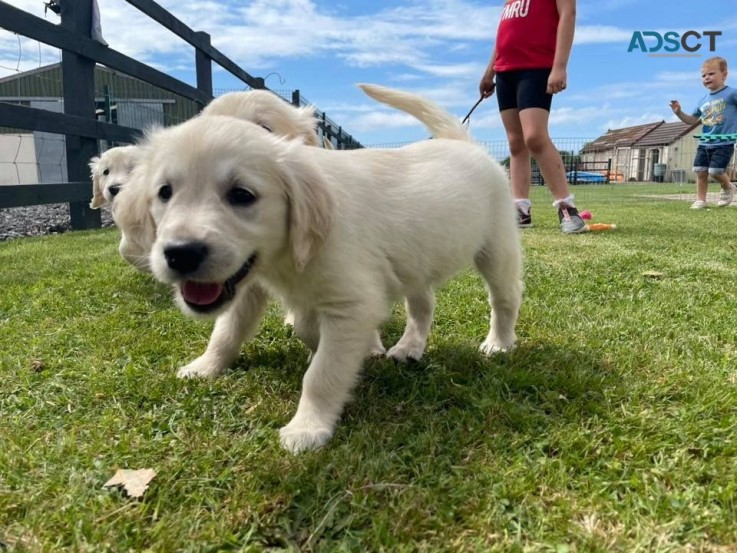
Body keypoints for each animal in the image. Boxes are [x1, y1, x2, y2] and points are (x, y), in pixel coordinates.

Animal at [135, 84, 520, 450]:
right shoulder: (252, 284)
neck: (288, 253)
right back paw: (409, 347)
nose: (180, 254)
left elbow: (323, 372)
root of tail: (463, 143)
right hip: (416, 260)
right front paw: (206, 366)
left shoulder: (353, 303)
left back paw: (498, 344)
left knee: (504, 299)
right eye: (165, 192)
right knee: (423, 305)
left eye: (242, 195)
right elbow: (232, 330)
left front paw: (308, 428)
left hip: (497, 247)